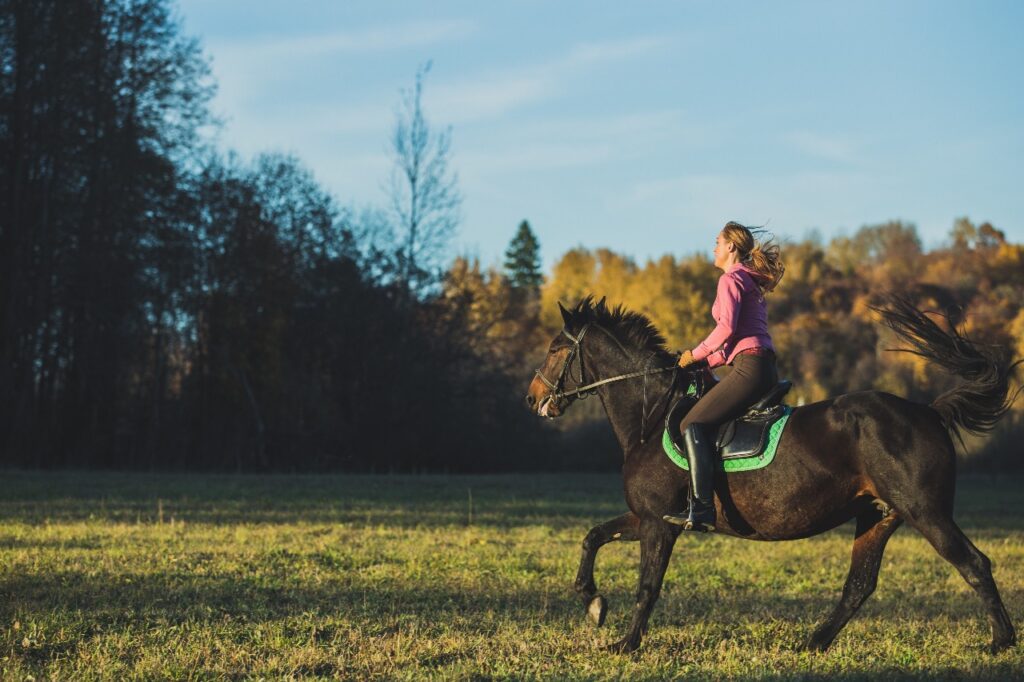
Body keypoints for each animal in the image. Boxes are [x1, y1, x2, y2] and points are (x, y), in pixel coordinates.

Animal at [525, 295, 1020, 654]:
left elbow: (647, 585)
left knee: (974, 564)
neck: (652, 416)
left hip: (925, 512)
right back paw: (814, 642)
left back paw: (1000, 642)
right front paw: (594, 605)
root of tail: (929, 412)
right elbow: (592, 537)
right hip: (878, 515)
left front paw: (624, 644)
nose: (533, 399)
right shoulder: (647, 516)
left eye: (555, 349)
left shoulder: (658, 524)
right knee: (859, 585)